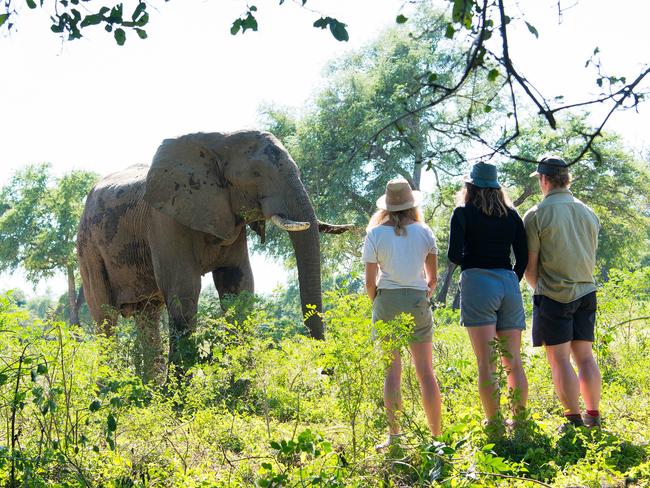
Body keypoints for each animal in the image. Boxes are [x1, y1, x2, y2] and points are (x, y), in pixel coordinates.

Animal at [76, 131, 346, 382]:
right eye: (256, 174)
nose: (327, 372)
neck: (219, 142)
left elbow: (237, 284)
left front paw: (243, 386)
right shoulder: (165, 221)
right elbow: (183, 288)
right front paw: (178, 395)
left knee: (148, 315)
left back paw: (148, 389)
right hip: (88, 248)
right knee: (105, 318)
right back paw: (108, 387)